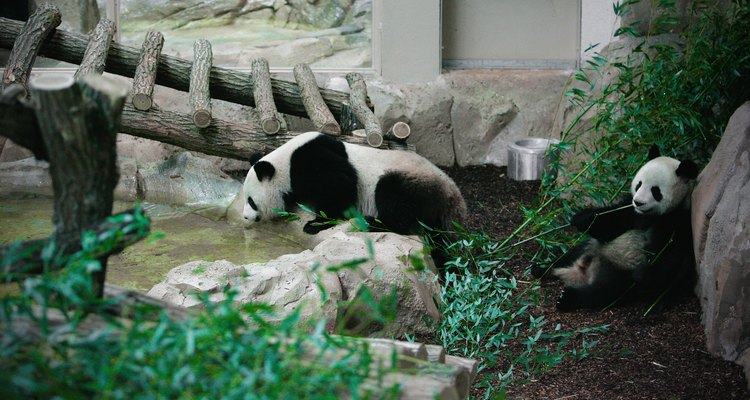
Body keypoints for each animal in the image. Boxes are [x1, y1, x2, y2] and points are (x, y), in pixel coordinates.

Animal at [241, 131, 468, 238]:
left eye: (251, 201)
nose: (244, 216)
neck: (284, 163)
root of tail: (454, 197)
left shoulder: (309, 163)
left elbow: (341, 185)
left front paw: (315, 224)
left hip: (414, 181)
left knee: (395, 198)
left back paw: (370, 222)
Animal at [536, 145, 704, 310]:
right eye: (639, 184)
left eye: (655, 191)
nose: (639, 202)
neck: (651, 216)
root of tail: (581, 272)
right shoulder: (630, 211)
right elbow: (610, 225)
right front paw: (583, 218)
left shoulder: (677, 221)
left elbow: (667, 259)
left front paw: (643, 273)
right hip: (590, 248)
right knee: (570, 255)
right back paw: (542, 268)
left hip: (619, 272)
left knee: (603, 291)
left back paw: (567, 298)